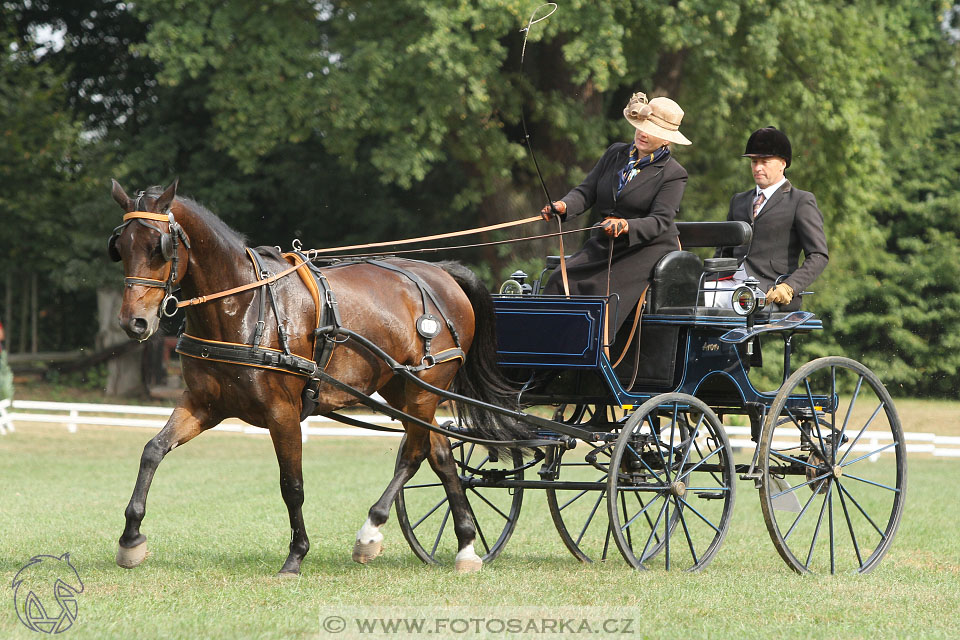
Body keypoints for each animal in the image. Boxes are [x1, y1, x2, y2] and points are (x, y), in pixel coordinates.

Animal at [112, 179, 532, 576]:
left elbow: (292, 485)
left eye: (159, 248)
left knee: (414, 454)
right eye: (121, 247)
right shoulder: (203, 404)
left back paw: (371, 532)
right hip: (404, 390)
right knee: (441, 455)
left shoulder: (282, 412)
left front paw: (296, 555)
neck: (244, 306)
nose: (135, 322)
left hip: (425, 390)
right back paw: (466, 546)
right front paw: (131, 539)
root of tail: (443, 274)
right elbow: (152, 450)